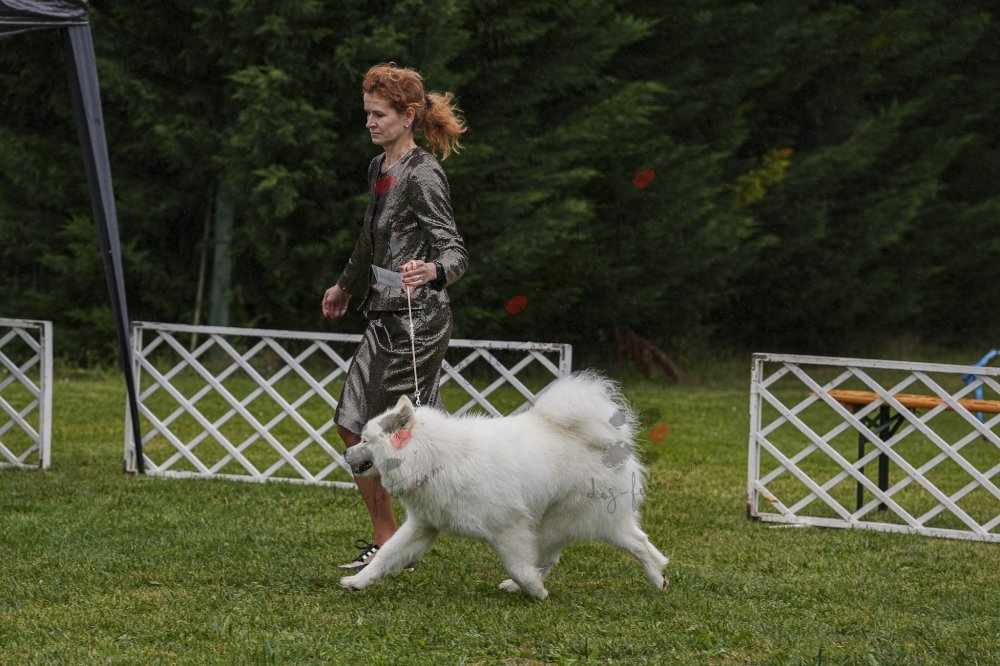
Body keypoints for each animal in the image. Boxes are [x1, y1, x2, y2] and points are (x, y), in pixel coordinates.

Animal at [340, 371, 669, 600]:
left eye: (365, 440)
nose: (344, 453)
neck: (435, 457)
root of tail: (607, 443)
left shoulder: (509, 528)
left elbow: (518, 565)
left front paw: (536, 591)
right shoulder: (423, 526)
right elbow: (387, 554)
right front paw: (358, 581)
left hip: (578, 519)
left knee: (635, 543)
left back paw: (655, 577)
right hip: (554, 523)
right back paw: (660, 574)